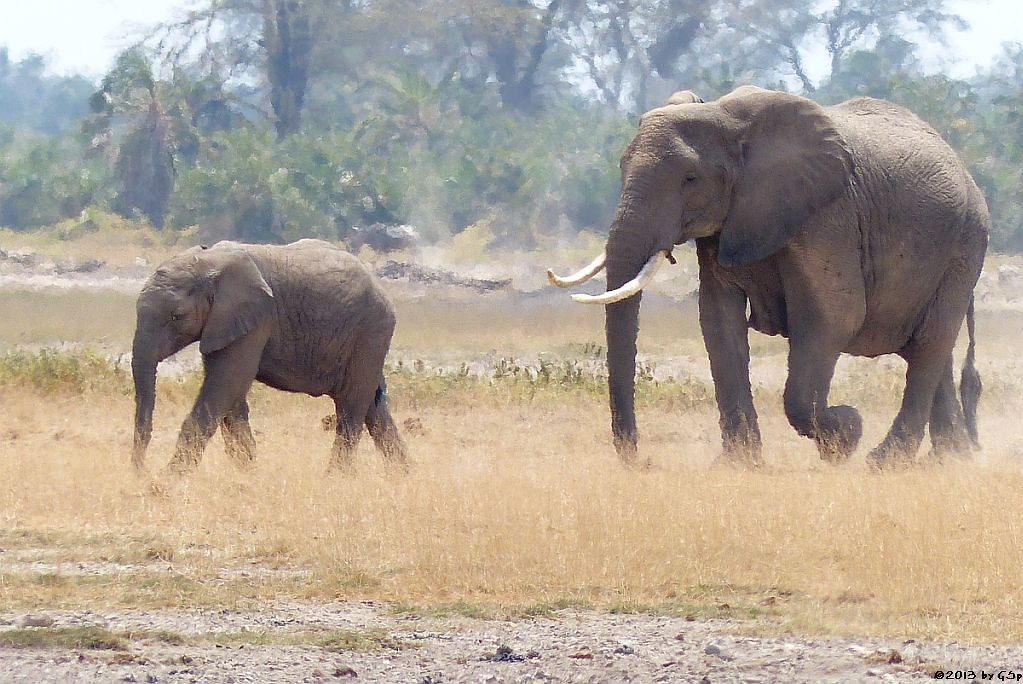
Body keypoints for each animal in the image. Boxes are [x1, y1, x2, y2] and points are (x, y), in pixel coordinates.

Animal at [130, 239, 407, 470]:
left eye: (176, 316)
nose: (141, 472)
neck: (210, 261)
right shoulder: (224, 324)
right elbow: (231, 396)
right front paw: (247, 473)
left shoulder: (256, 320)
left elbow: (226, 384)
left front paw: (166, 483)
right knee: (374, 407)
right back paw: (402, 476)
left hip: (370, 331)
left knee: (351, 408)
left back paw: (336, 479)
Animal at [548, 86, 986, 470]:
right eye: (622, 167)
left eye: (690, 178)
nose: (642, 461)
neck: (725, 115)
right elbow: (717, 323)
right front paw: (737, 465)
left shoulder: (828, 216)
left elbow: (833, 318)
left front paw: (846, 434)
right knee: (931, 349)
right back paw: (950, 459)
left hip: (965, 244)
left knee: (929, 344)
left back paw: (887, 462)